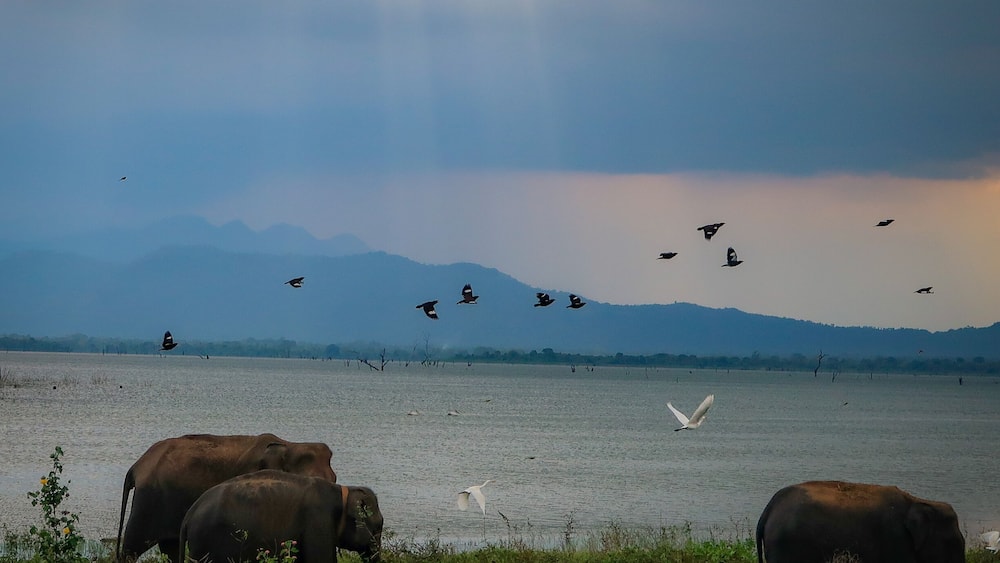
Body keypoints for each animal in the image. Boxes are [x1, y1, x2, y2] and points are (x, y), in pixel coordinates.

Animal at [116, 433, 337, 563]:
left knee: (170, 548)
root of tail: (137, 466)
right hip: (149, 499)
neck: (289, 445)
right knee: (133, 545)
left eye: (334, 479)